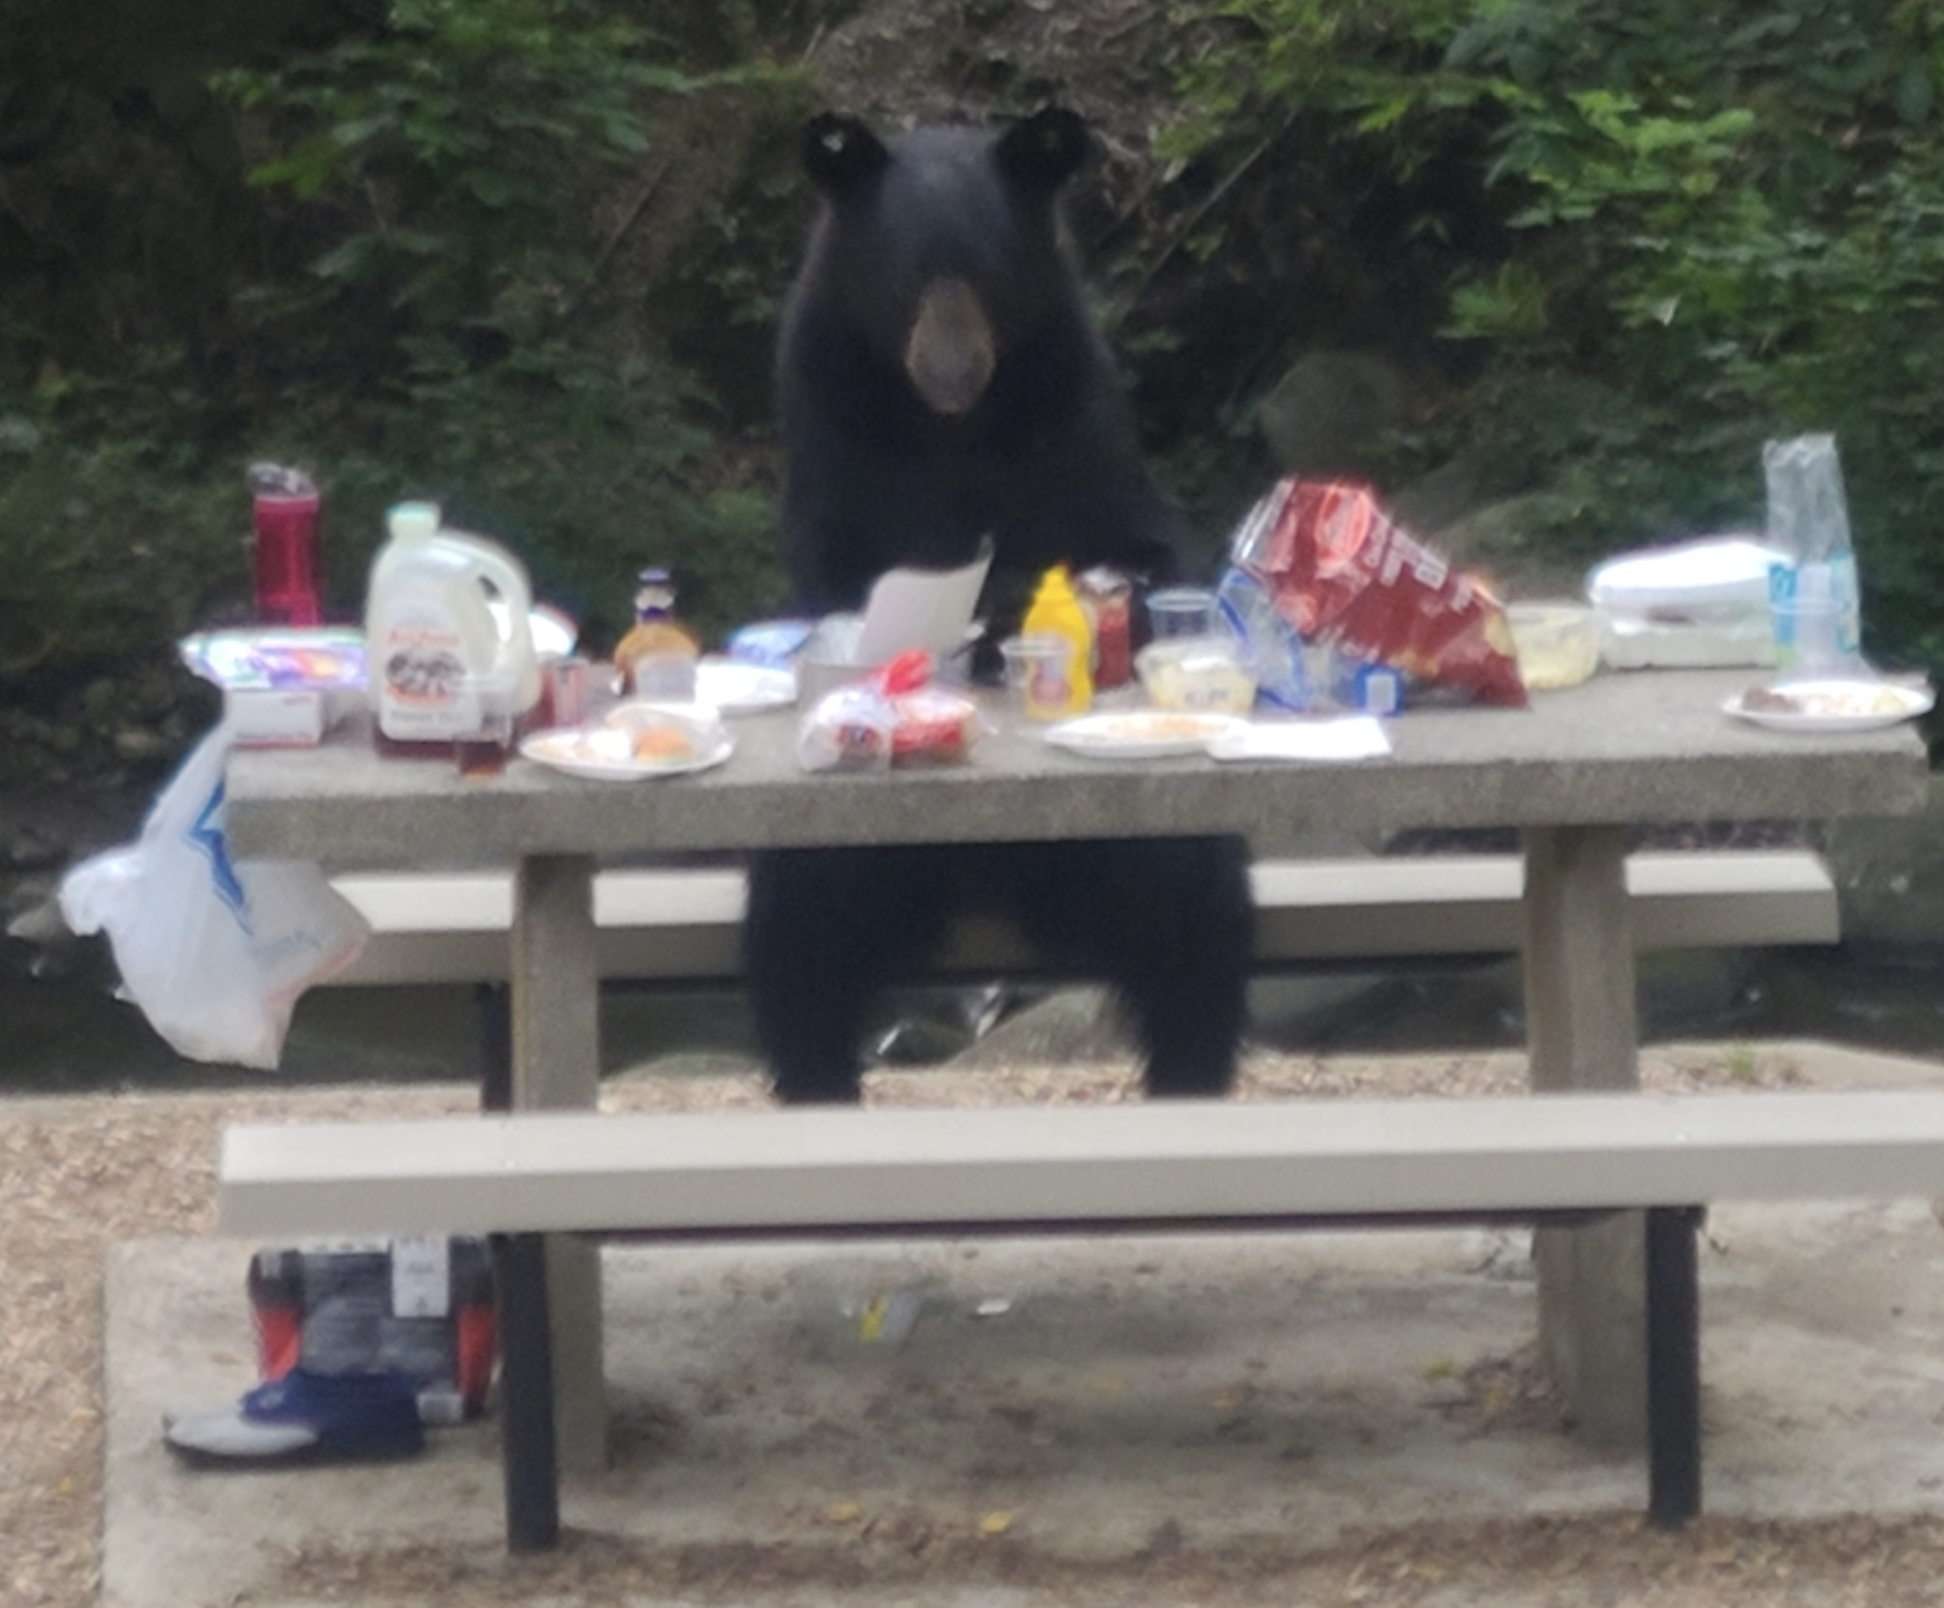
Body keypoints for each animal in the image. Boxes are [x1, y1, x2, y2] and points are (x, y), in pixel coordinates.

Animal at [745, 106, 1254, 1105]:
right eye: (908, 275)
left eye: (986, 272)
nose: (952, 370)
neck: (950, 433)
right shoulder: (835, 423)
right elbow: (842, 572)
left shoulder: (1068, 412)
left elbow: (1134, 543)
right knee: (804, 939)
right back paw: (818, 1077)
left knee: (1193, 923)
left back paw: (1187, 1069)